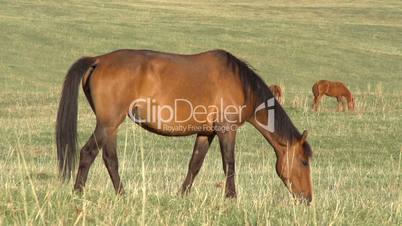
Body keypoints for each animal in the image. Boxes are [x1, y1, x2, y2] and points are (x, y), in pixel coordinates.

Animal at [56, 49, 314, 203]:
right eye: (303, 162)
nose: (308, 199)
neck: (242, 85)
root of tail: (98, 60)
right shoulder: (226, 130)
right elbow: (229, 164)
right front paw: (231, 198)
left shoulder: (206, 133)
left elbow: (195, 164)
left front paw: (182, 195)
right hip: (108, 124)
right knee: (88, 153)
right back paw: (78, 193)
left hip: (111, 127)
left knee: (110, 159)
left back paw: (122, 195)